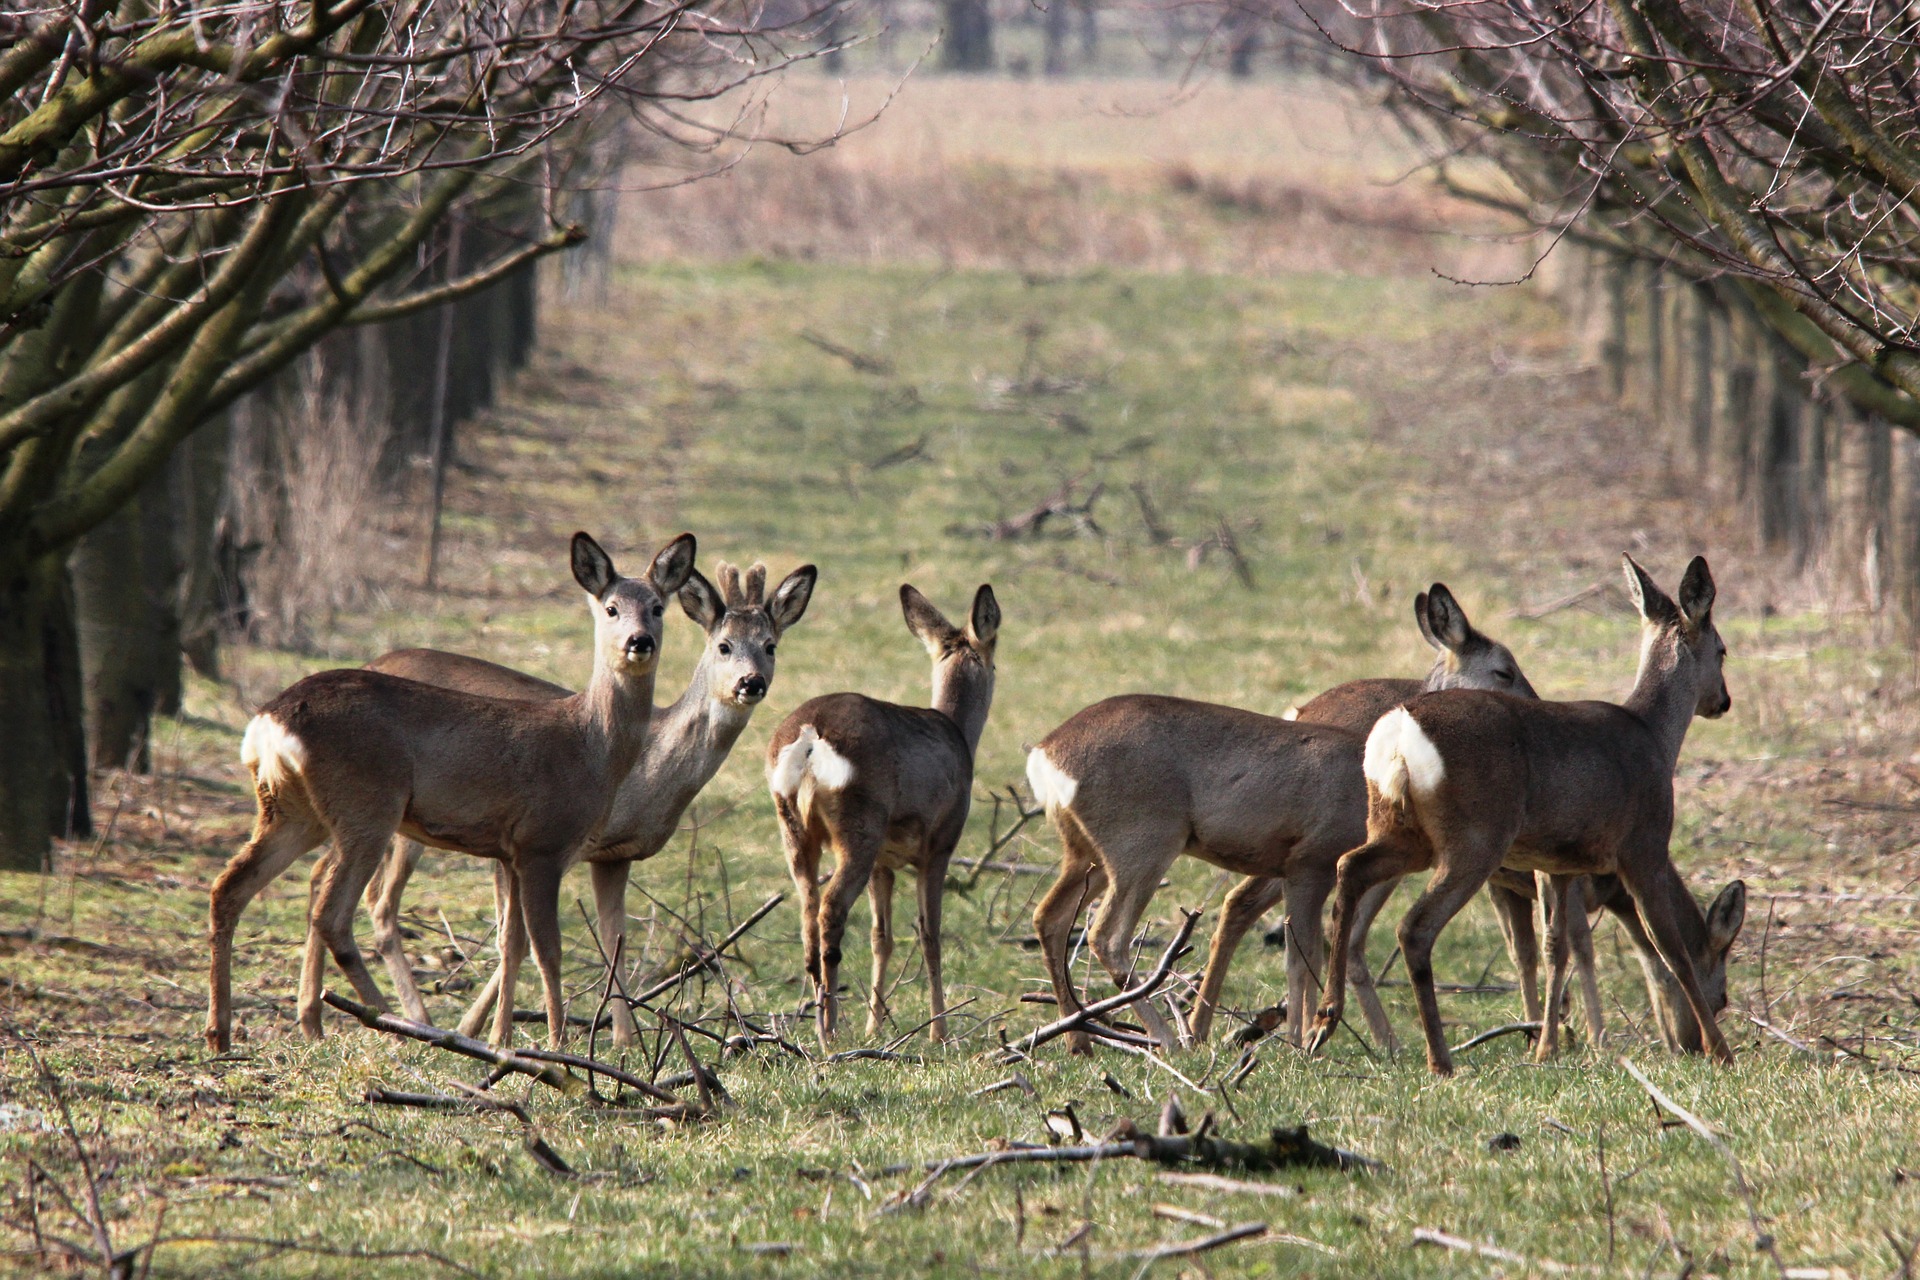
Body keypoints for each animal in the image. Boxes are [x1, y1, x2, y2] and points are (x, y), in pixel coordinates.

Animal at [206, 529, 698, 1051]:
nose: (639, 641)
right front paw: (556, 1043)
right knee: (332, 913)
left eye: (657, 608)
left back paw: (221, 1033)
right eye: (611, 608)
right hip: (367, 804)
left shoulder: (510, 852)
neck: (589, 746)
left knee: (230, 887)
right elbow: (548, 948)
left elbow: (512, 942)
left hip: (292, 810)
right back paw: (400, 1025)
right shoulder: (542, 842)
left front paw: (503, 1039)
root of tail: (268, 721)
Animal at [360, 556, 817, 1043]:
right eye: (724, 646)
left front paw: (623, 1040)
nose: (751, 683)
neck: (646, 771)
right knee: (381, 904)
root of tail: (374, 657)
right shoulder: (533, 844)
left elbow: (613, 940)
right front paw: (478, 1028)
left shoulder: (614, 855)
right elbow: (516, 941)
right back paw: (415, 1019)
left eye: (770, 646)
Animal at [764, 587, 1006, 1043]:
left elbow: (883, 937)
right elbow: (930, 934)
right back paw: (829, 1030)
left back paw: (820, 1021)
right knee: (830, 910)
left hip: (794, 828)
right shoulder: (940, 843)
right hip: (860, 823)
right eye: (995, 660)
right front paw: (939, 1030)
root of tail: (810, 736)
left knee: (807, 912)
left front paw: (874, 1026)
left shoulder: (885, 862)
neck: (959, 735)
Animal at [1029, 579, 1536, 1051]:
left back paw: (1081, 1039)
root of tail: (1045, 754)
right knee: (1107, 935)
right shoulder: (1312, 859)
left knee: (1049, 917)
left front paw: (1302, 1038)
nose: (1533, 708)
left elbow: (1304, 953)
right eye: (1504, 669)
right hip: (1142, 842)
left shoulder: (1300, 867)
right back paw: (1171, 1039)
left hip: (1086, 851)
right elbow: (1303, 957)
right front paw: (1301, 1042)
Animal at [1313, 556, 1751, 1074]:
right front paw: (1721, 1051)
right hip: (1475, 837)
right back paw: (1439, 1059)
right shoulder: (1644, 847)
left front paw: (1547, 1046)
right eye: (1722, 649)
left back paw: (1324, 1020)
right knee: (1414, 927)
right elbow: (1673, 952)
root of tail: (1399, 731)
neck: (1655, 738)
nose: (1722, 701)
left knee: (1350, 867)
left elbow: (1555, 946)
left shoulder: (1558, 863)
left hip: (1400, 829)